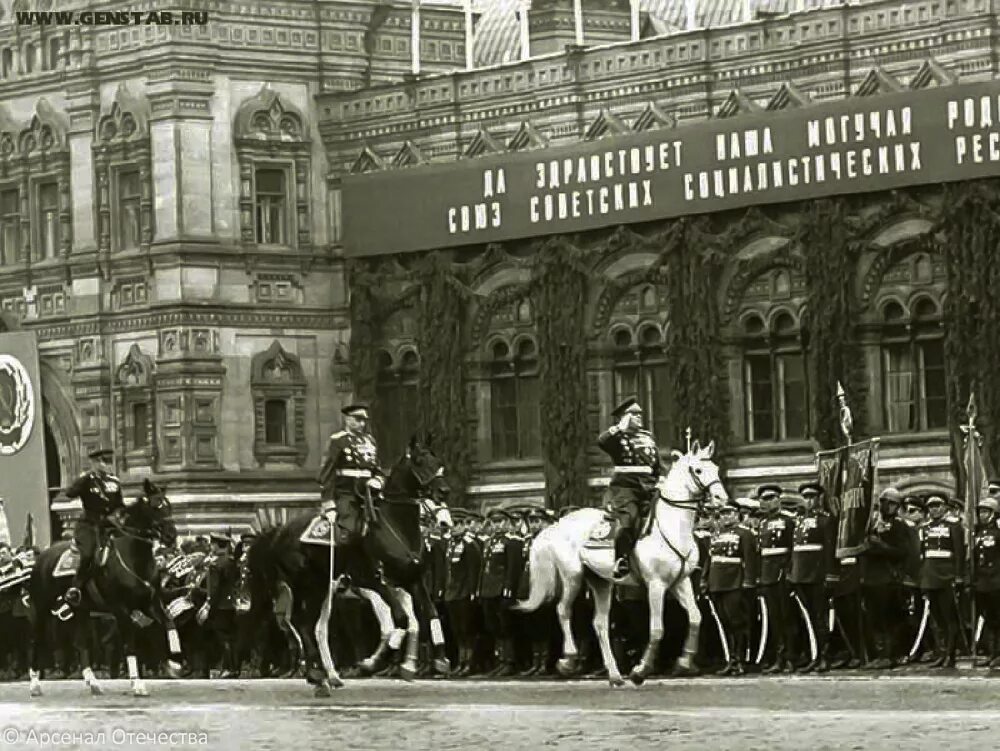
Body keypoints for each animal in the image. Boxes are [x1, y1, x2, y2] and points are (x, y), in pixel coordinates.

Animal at [29, 482, 185, 700]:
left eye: (169, 505)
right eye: (155, 507)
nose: (171, 536)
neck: (133, 558)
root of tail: (42, 556)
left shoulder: (151, 603)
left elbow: (169, 624)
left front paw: (174, 662)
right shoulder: (121, 610)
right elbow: (130, 643)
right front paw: (137, 683)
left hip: (81, 611)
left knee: (80, 643)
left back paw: (93, 682)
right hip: (42, 608)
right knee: (38, 640)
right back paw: (34, 684)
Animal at [248, 438, 452, 696]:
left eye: (438, 461)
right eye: (419, 461)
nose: (443, 492)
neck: (396, 529)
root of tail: (279, 532)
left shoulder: (411, 581)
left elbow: (426, 615)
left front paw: (433, 661)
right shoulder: (377, 583)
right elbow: (399, 620)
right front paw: (374, 662)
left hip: (320, 590)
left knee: (312, 627)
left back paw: (326, 676)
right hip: (304, 587)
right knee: (299, 625)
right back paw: (315, 673)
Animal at [516, 440, 728, 688]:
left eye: (715, 467)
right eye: (698, 470)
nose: (722, 499)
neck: (671, 526)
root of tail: (558, 524)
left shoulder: (680, 582)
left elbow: (695, 618)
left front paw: (684, 661)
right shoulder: (656, 585)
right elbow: (657, 629)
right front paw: (640, 671)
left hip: (600, 582)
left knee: (599, 623)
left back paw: (614, 674)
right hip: (573, 576)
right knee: (563, 610)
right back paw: (568, 659)